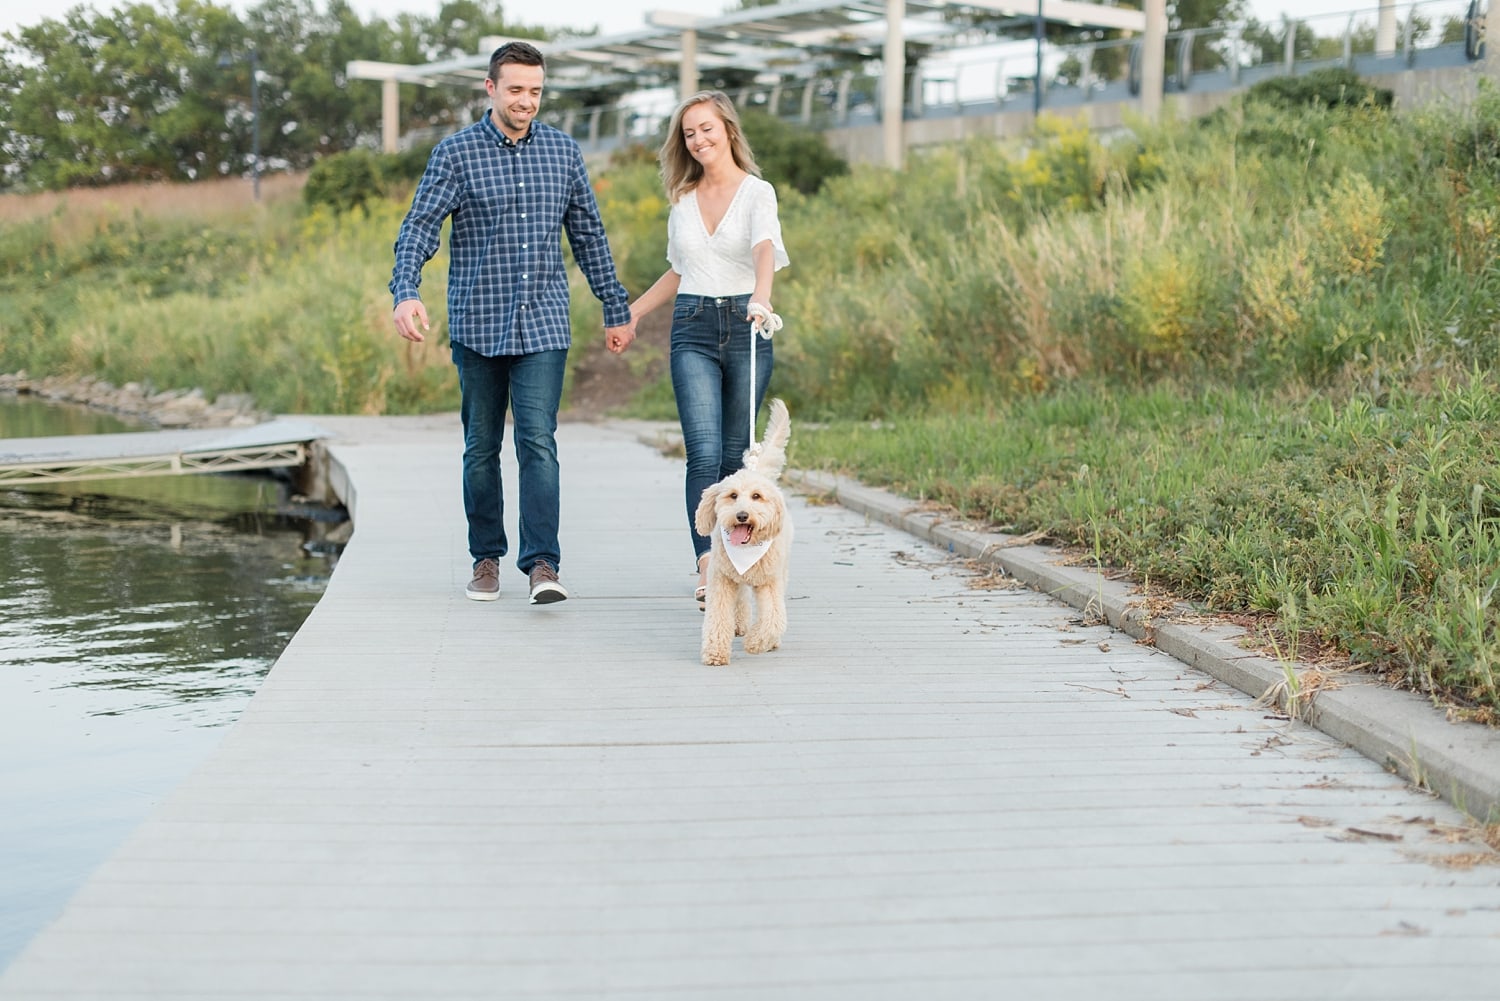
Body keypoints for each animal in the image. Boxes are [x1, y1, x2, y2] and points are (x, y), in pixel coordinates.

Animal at [696, 396, 798, 666]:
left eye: (756, 497)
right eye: (732, 496)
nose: (742, 515)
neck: (747, 551)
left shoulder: (770, 583)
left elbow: (773, 619)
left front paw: (757, 642)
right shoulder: (721, 581)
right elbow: (718, 618)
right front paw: (716, 652)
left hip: (781, 571)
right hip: (734, 578)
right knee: (741, 600)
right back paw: (739, 624)